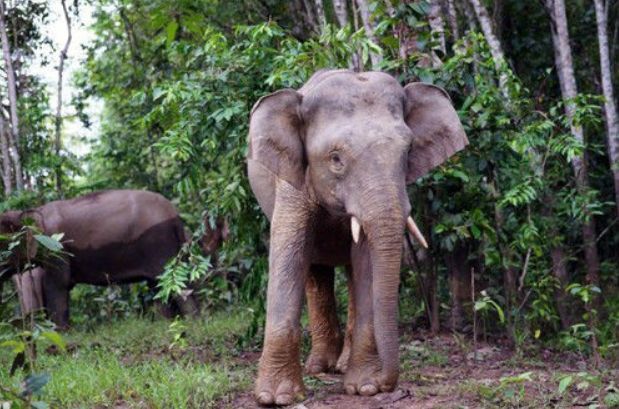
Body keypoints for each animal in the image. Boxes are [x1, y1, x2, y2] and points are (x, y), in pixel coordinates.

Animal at [0, 189, 222, 328]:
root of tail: (177, 218)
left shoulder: (57, 247)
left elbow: (57, 285)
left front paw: (61, 334)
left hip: (160, 243)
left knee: (172, 282)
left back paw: (194, 323)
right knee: (159, 285)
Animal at [248, 68, 470, 404]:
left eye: (407, 152)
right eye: (336, 159)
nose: (388, 385)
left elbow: (366, 262)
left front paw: (365, 388)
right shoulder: (292, 184)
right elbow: (288, 255)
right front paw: (277, 398)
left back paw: (339, 366)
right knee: (315, 271)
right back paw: (320, 367)